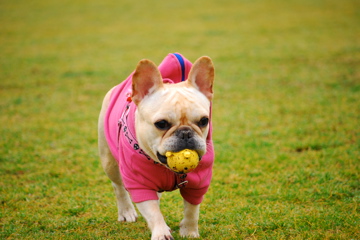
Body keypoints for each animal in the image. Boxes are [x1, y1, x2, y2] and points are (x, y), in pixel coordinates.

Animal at [97, 54, 214, 240]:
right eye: (161, 124)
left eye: (204, 121)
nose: (186, 133)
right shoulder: (139, 184)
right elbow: (153, 212)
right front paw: (161, 233)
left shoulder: (198, 184)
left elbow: (192, 210)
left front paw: (189, 231)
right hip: (109, 161)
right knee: (118, 186)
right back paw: (126, 211)